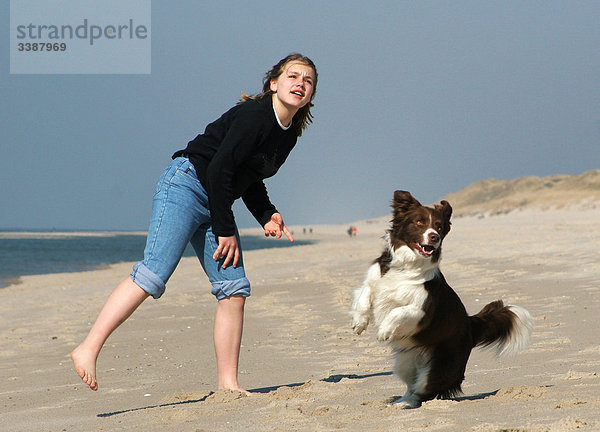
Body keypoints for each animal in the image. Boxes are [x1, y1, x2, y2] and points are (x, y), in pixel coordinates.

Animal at [352, 192, 536, 408]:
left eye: (439, 226)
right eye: (419, 221)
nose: (435, 237)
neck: (407, 266)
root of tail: (470, 325)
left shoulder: (422, 311)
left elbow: (399, 311)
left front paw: (384, 330)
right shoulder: (375, 280)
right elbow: (364, 293)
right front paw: (359, 322)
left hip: (439, 366)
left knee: (423, 390)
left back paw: (405, 404)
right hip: (406, 361)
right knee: (411, 386)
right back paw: (398, 402)